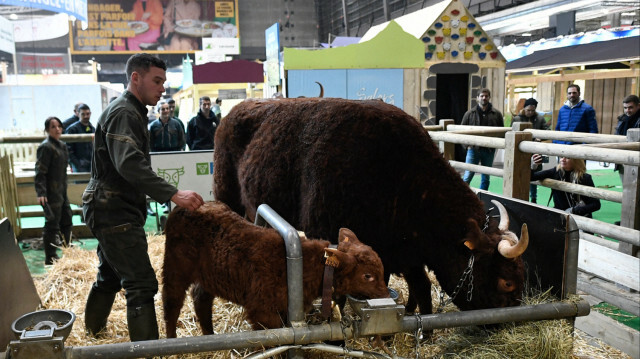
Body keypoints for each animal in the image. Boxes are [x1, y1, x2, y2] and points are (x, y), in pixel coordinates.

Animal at [162, 201, 388, 336]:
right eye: (367, 275)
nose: (386, 293)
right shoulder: (263, 312)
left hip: (210, 275)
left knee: (200, 298)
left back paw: (209, 334)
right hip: (175, 267)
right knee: (171, 303)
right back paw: (172, 339)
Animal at [215, 97, 528, 316]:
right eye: (507, 283)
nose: (506, 320)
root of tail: (235, 110)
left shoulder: (401, 252)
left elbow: (417, 287)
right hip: (227, 196)